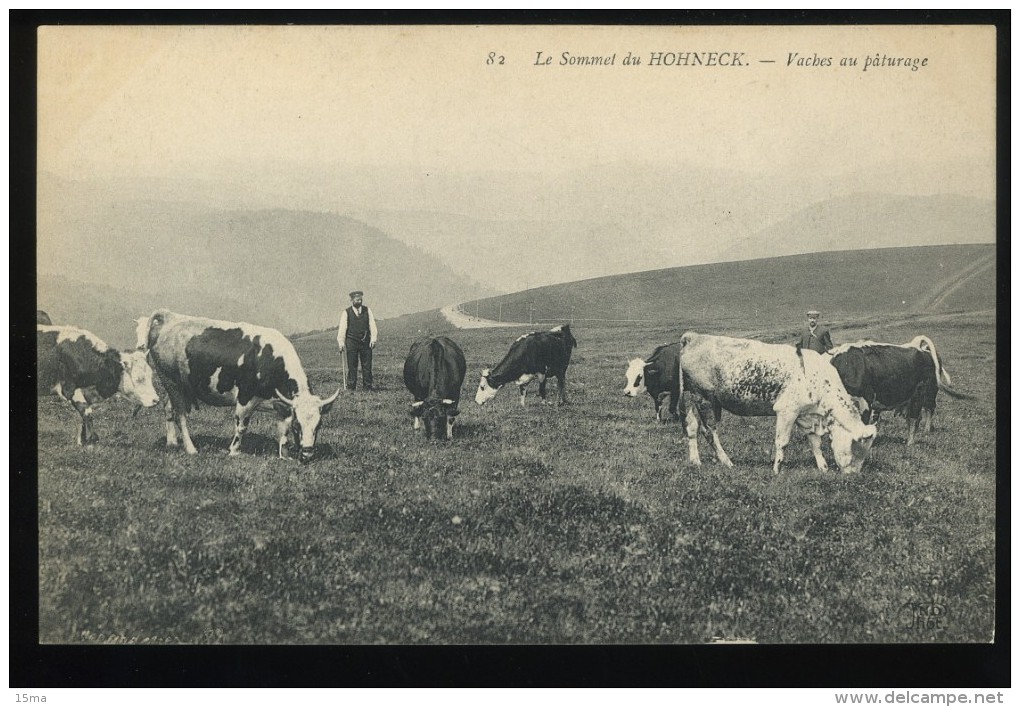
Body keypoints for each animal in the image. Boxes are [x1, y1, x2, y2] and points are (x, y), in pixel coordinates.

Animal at [136, 308, 338, 463]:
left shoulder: (283, 406)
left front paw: (284, 455)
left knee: (168, 408)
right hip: (171, 381)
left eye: (319, 425)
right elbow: (241, 426)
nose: (307, 454)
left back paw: (172, 442)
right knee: (180, 415)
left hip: (181, 387)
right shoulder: (245, 398)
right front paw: (234, 451)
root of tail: (170, 316)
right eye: (298, 425)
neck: (270, 359)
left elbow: (283, 429)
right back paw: (190, 448)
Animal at [669, 332, 877, 473]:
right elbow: (782, 442)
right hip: (703, 398)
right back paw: (727, 461)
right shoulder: (787, 410)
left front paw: (823, 467)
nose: (853, 474)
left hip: (692, 398)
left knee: (691, 427)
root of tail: (693, 337)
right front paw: (777, 469)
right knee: (709, 431)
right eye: (857, 447)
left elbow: (814, 442)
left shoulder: (806, 414)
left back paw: (695, 461)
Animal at [824, 334, 958, 444]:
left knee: (921, 414)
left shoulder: (865, 401)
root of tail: (921, 348)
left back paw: (917, 438)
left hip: (924, 393)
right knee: (915, 416)